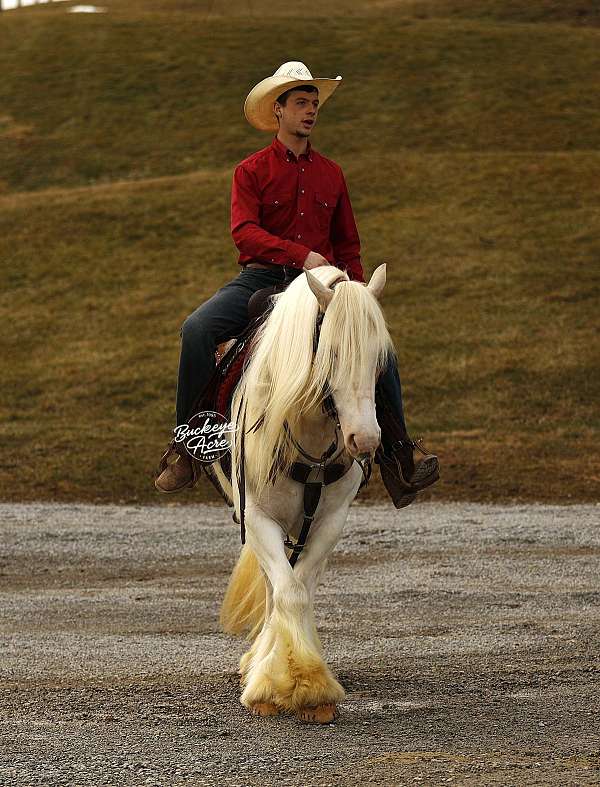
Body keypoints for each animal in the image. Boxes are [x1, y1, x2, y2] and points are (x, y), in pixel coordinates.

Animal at [213, 263, 394, 724]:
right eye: (331, 353)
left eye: (380, 360)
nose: (365, 439)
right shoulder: (258, 518)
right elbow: (287, 592)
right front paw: (284, 684)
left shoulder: (331, 521)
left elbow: (303, 588)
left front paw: (308, 684)